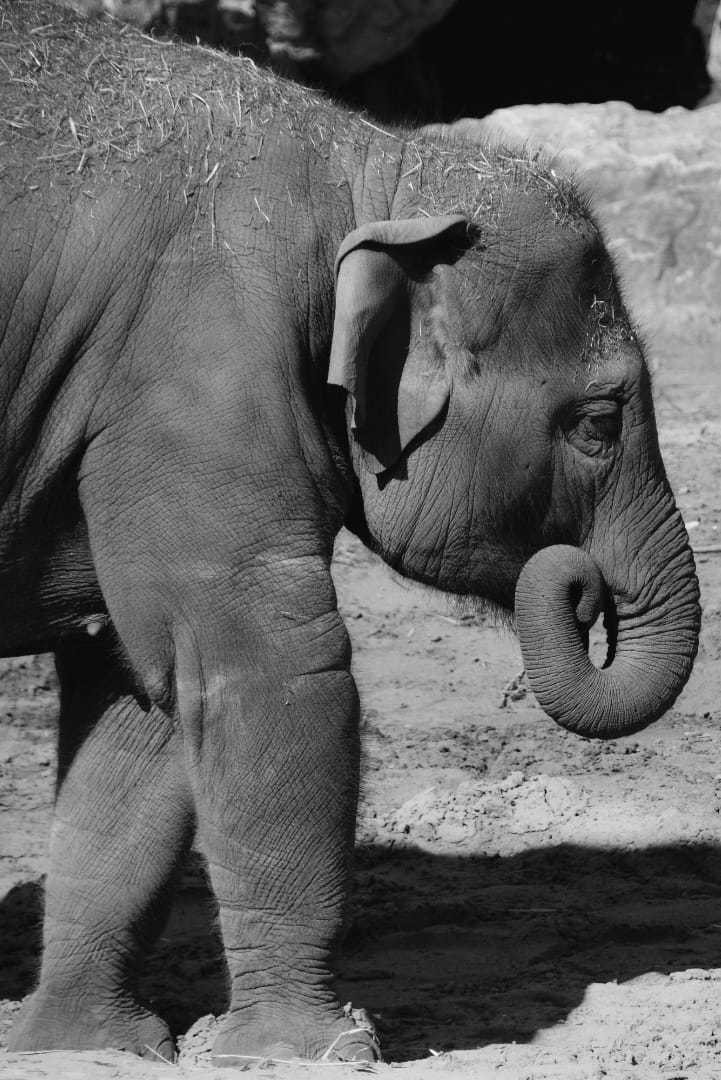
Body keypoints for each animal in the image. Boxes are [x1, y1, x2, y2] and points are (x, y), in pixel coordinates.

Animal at [0, 0, 699, 1067]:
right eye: (597, 423)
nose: (580, 584)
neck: (369, 168)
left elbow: (142, 691)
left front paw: (84, 1047)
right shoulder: (195, 375)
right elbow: (271, 663)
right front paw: (310, 1050)